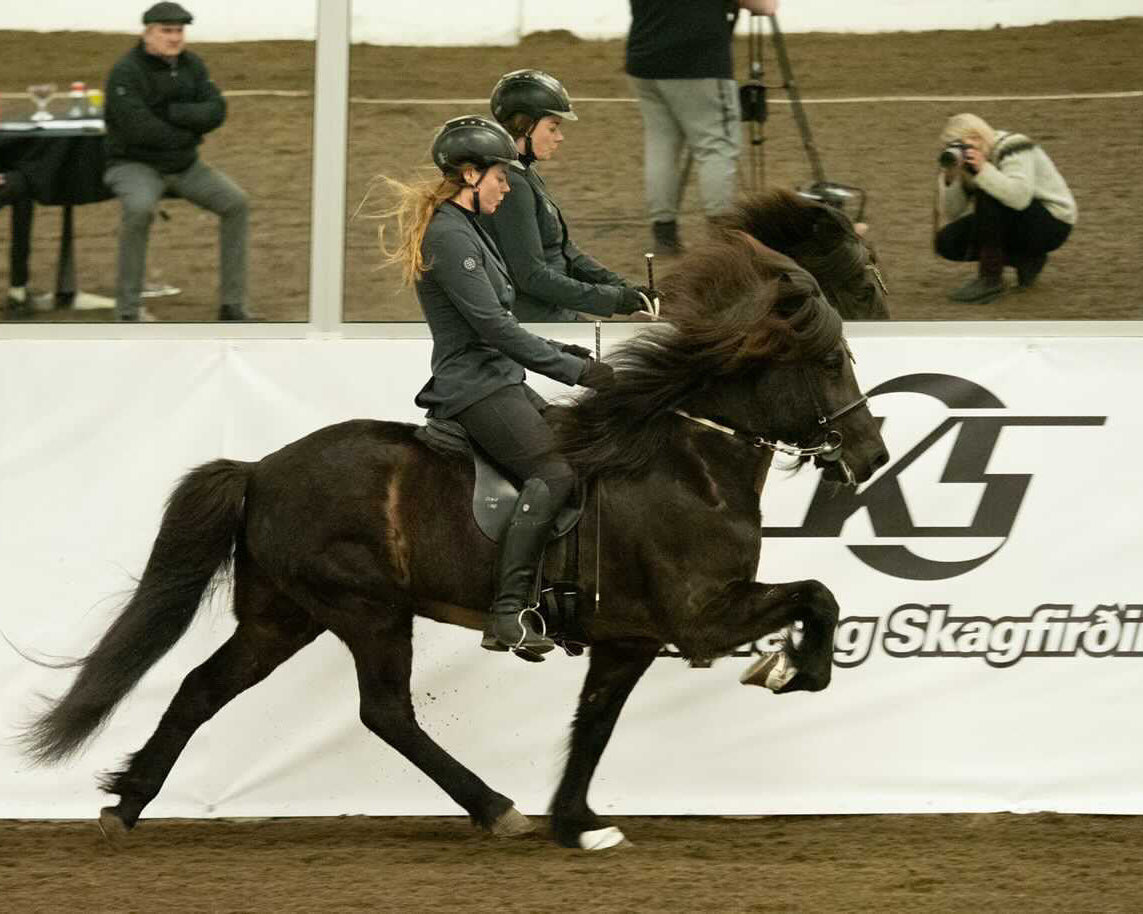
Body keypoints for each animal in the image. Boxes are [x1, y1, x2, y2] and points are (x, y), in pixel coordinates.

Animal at [20, 202, 890, 852]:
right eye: (829, 361)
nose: (871, 454)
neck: (686, 456)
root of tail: (261, 469)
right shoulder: (700, 616)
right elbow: (816, 593)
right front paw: (790, 670)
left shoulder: (629, 638)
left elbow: (593, 724)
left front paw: (578, 822)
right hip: (365, 609)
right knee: (385, 713)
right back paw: (494, 806)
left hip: (284, 615)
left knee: (203, 687)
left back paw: (126, 804)